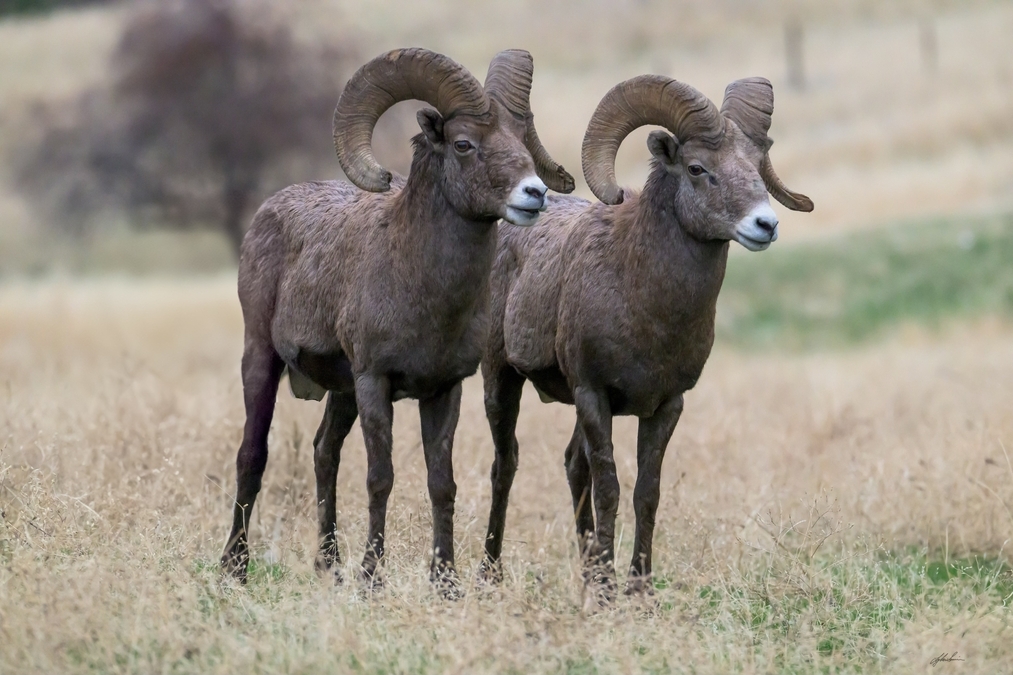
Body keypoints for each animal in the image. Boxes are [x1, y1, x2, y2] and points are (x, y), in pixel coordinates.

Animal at [219, 48, 571, 587]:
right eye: (464, 144)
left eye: (521, 137)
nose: (534, 194)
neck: (422, 288)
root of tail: (268, 212)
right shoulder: (374, 382)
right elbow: (380, 478)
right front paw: (372, 577)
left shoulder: (445, 390)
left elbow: (441, 483)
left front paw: (445, 582)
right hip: (262, 358)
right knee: (251, 455)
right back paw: (234, 565)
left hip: (340, 392)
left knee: (323, 452)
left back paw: (328, 566)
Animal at [476, 75, 814, 600]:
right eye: (697, 168)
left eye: (756, 164)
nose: (766, 224)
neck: (645, 302)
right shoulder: (594, 395)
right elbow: (610, 489)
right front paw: (610, 594)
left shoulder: (666, 405)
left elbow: (645, 494)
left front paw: (639, 589)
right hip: (501, 380)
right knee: (505, 466)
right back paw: (492, 575)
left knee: (573, 466)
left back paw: (588, 574)